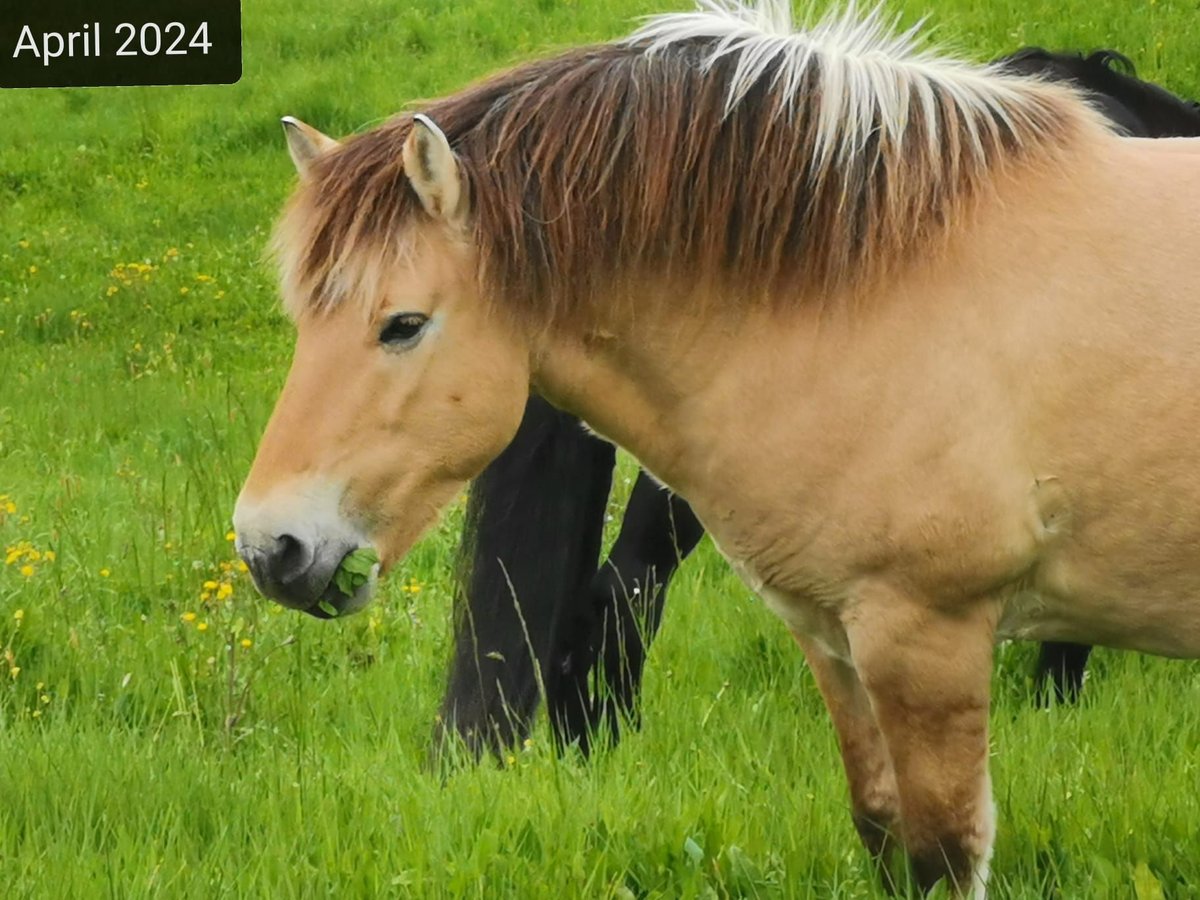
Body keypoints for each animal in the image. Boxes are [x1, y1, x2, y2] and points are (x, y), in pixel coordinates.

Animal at [238, 3, 1200, 897]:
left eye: (402, 325)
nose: (269, 547)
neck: (887, 285)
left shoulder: (926, 639)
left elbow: (938, 858)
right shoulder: (841, 639)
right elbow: (884, 834)